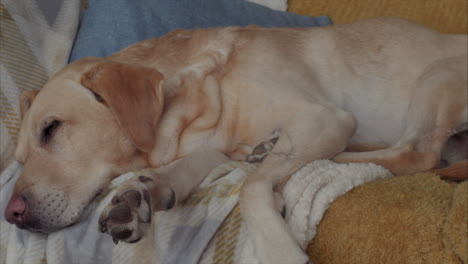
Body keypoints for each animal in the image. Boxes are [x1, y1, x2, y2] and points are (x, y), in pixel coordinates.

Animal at [4, 17, 468, 262]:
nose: (11, 214)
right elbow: (191, 167)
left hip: (436, 79)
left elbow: (251, 188)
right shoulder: (216, 144)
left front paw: (279, 248)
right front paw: (145, 192)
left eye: (52, 128)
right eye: (20, 157)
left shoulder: (325, 117)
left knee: (420, 156)